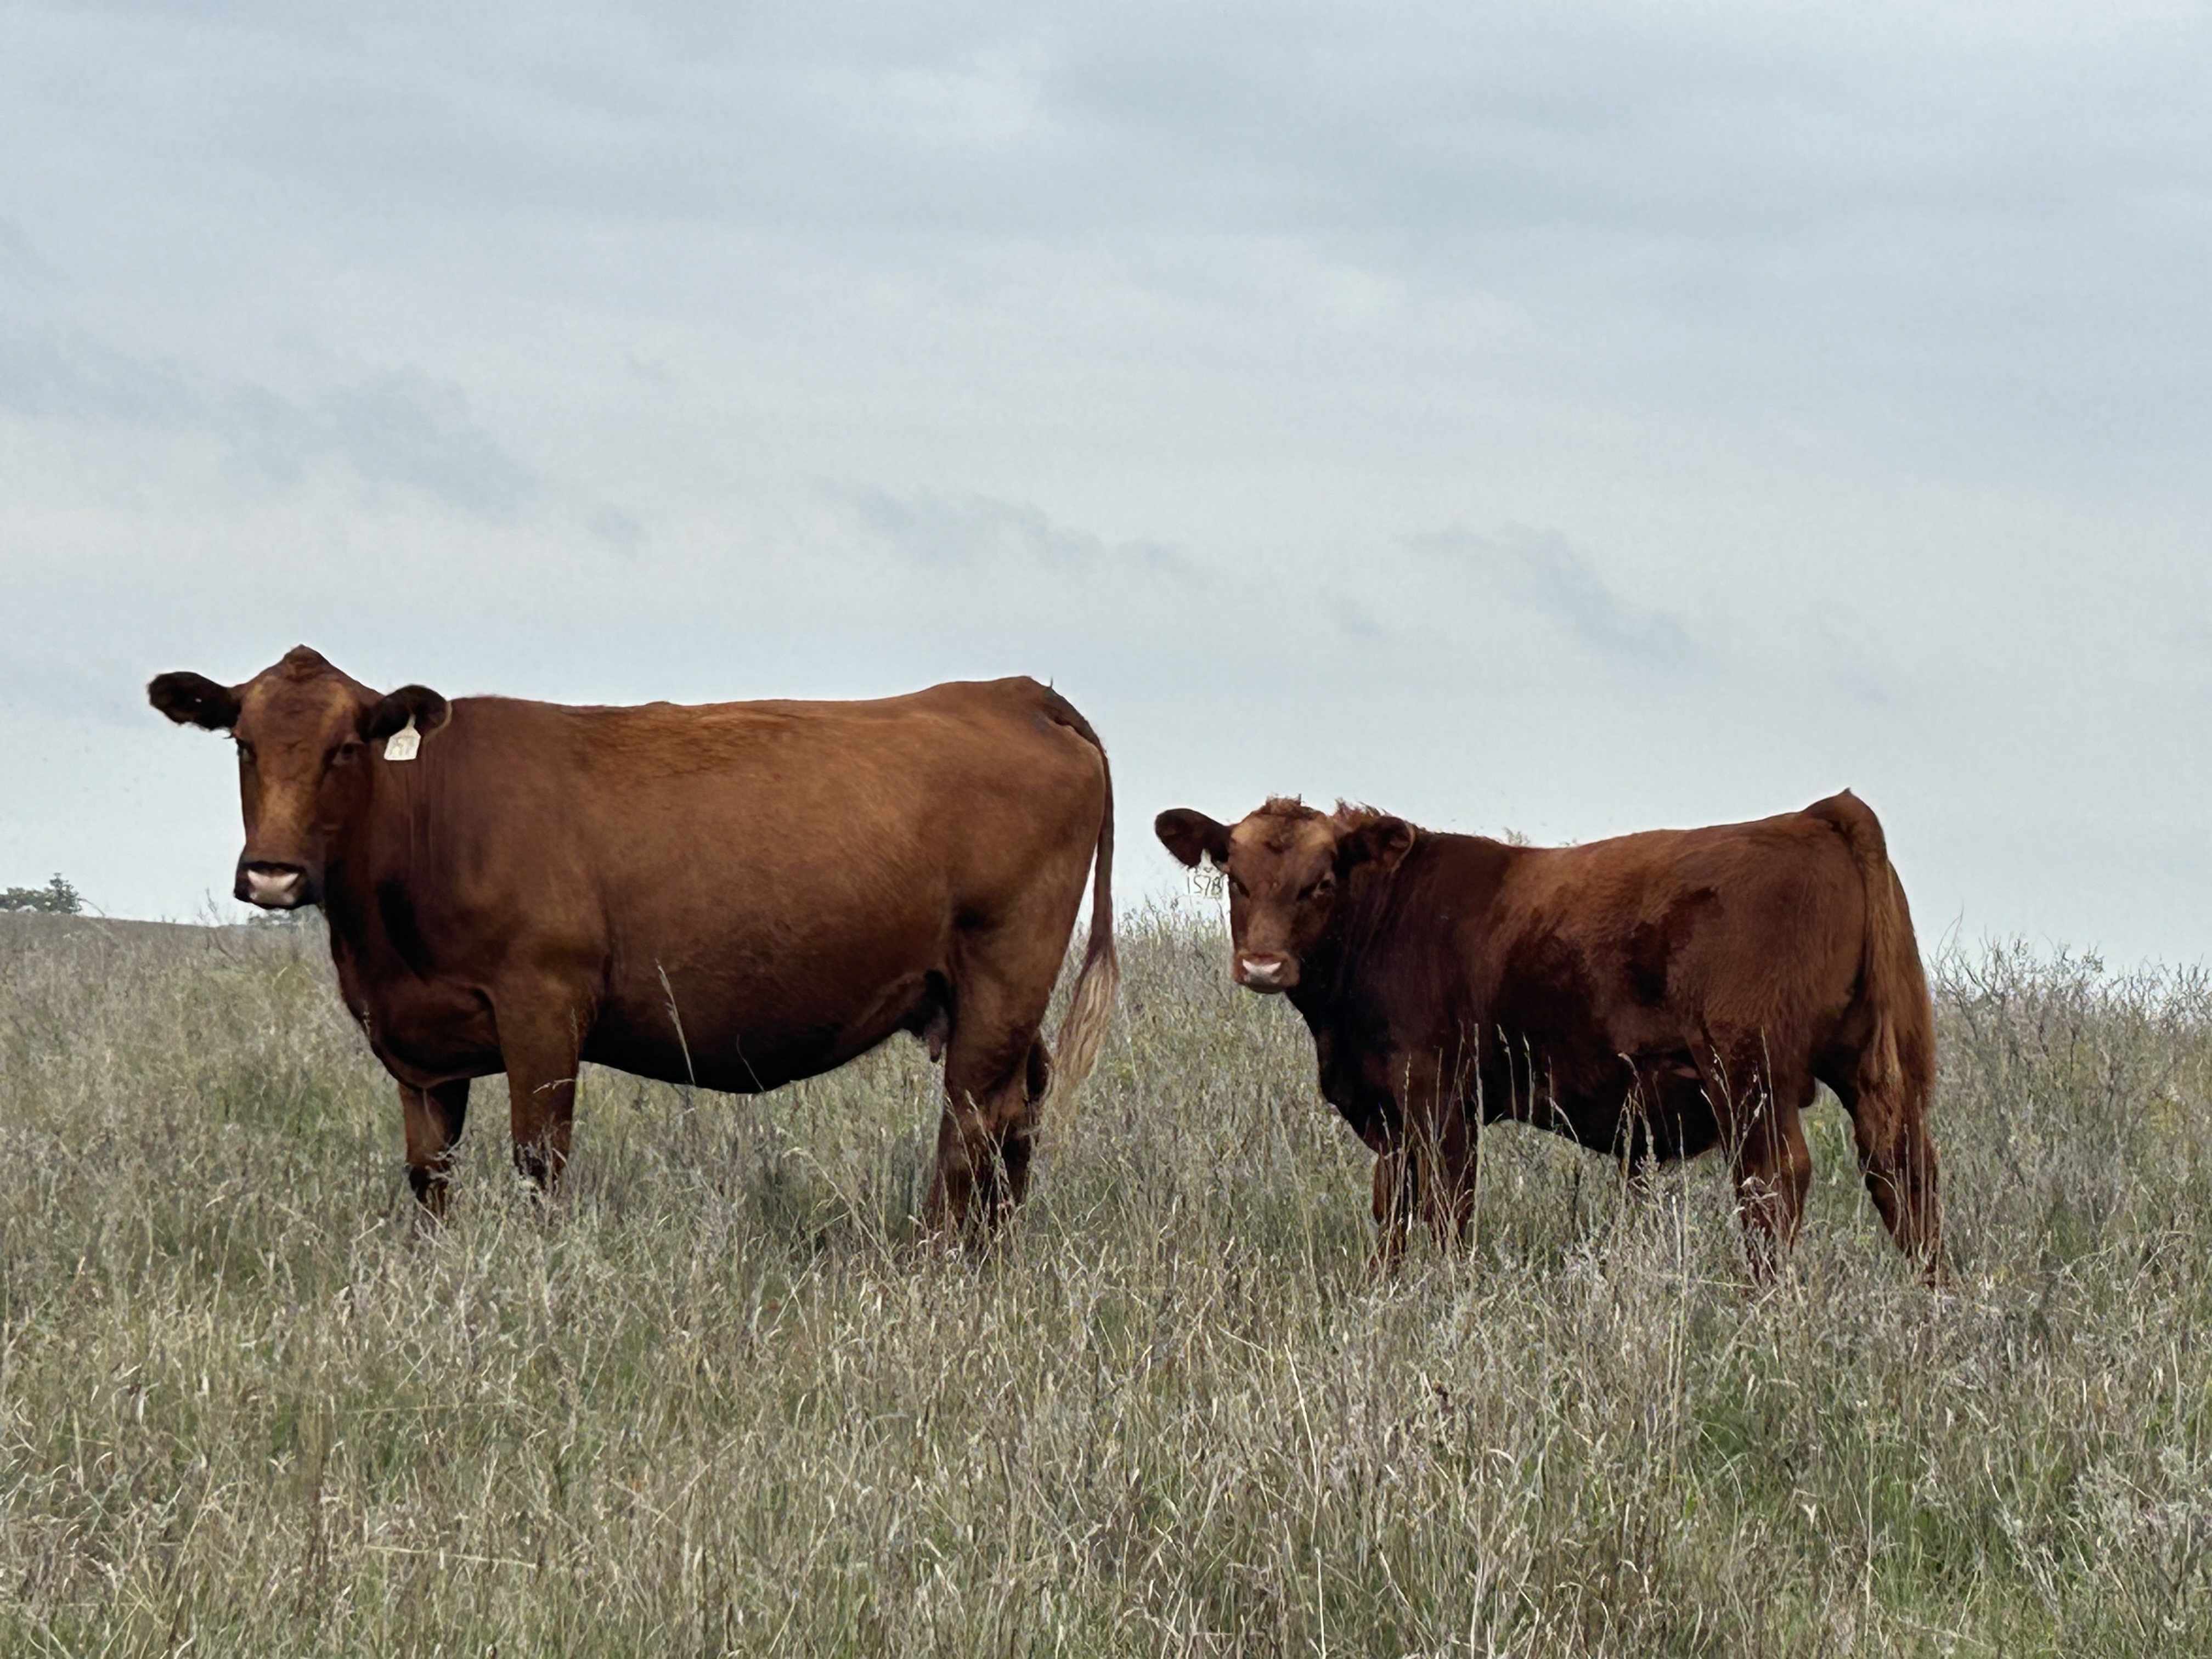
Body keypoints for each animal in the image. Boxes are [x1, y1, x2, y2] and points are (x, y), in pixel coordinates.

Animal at [150, 647, 1118, 1233]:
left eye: (347, 747)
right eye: (241, 744)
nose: (273, 875)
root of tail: (1016, 693)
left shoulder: (542, 1006)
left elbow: (540, 1159)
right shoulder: (420, 1047)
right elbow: (430, 1175)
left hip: (1004, 971)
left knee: (970, 1124)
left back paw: (933, 1264)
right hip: (982, 997)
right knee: (1017, 1109)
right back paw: (991, 1261)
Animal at [1154, 792, 1940, 1281]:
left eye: (1321, 882)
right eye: (1236, 878)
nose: (1263, 964)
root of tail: (1814, 815)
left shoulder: (1437, 1094)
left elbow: (1448, 1207)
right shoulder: (1389, 1111)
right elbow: (1393, 1209)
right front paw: (1384, 1292)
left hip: (1750, 1075)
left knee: (1775, 1184)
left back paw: (1763, 1306)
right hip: (1874, 1074)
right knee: (1904, 1176)